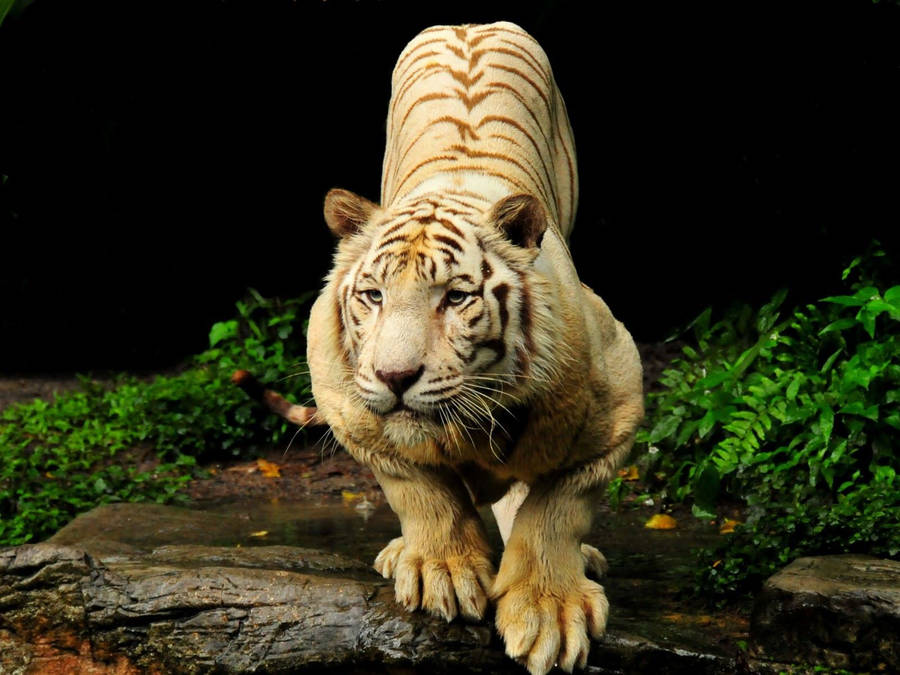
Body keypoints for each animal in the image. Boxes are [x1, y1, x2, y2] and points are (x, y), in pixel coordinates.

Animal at [306, 21, 644, 675]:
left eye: (456, 298)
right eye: (373, 295)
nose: (395, 376)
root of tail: (470, 22)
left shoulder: (618, 400)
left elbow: (556, 508)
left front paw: (548, 612)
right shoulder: (349, 405)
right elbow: (419, 490)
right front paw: (441, 570)